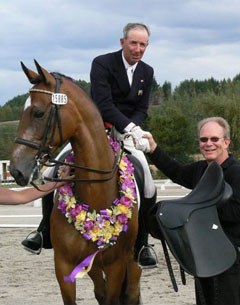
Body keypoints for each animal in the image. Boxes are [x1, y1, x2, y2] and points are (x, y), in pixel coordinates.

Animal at [9, 60, 141, 304]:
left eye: (39, 113)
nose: (16, 170)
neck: (95, 193)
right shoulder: (64, 265)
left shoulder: (116, 264)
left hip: (129, 263)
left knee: (131, 293)